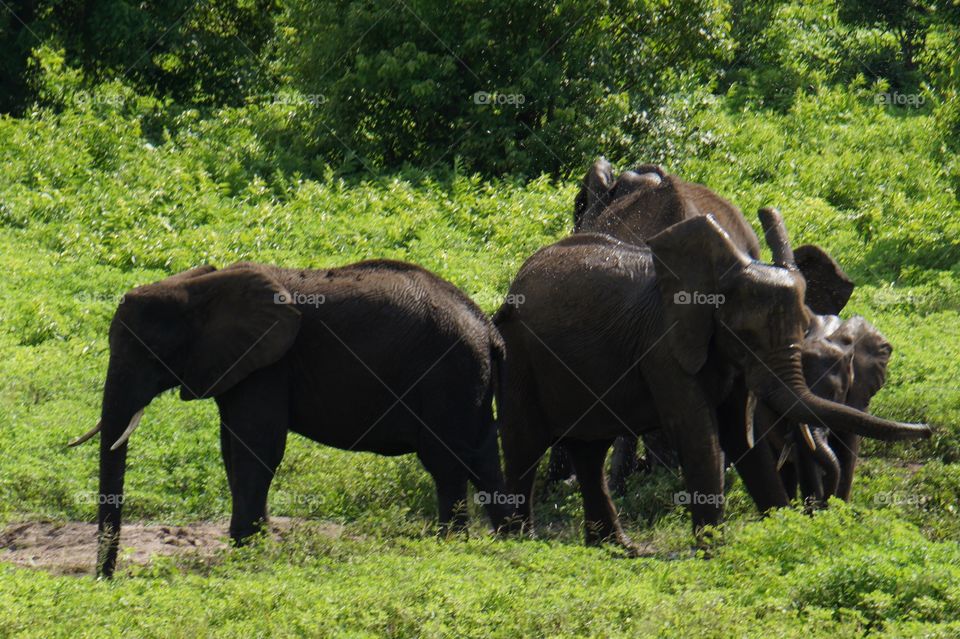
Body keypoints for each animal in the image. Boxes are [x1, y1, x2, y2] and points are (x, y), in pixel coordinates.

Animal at [68, 260, 512, 577]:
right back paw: (507, 539)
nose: (105, 580)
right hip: (467, 380)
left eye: (148, 351)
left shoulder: (268, 365)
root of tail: (489, 331)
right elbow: (232, 448)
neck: (201, 285)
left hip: (448, 376)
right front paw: (257, 545)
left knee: (446, 461)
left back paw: (450, 545)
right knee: (482, 455)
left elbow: (257, 446)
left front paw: (246, 549)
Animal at [494, 211, 929, 552]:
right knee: (525, 442)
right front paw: (713, 553)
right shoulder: (664, 344)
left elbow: (740, 435)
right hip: (518, 353)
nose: (927, 429)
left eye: (806, 325)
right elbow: (697, 430)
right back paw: (517, 541)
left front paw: (780, 532)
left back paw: (618, 547)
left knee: (589, 452)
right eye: (747, 336)